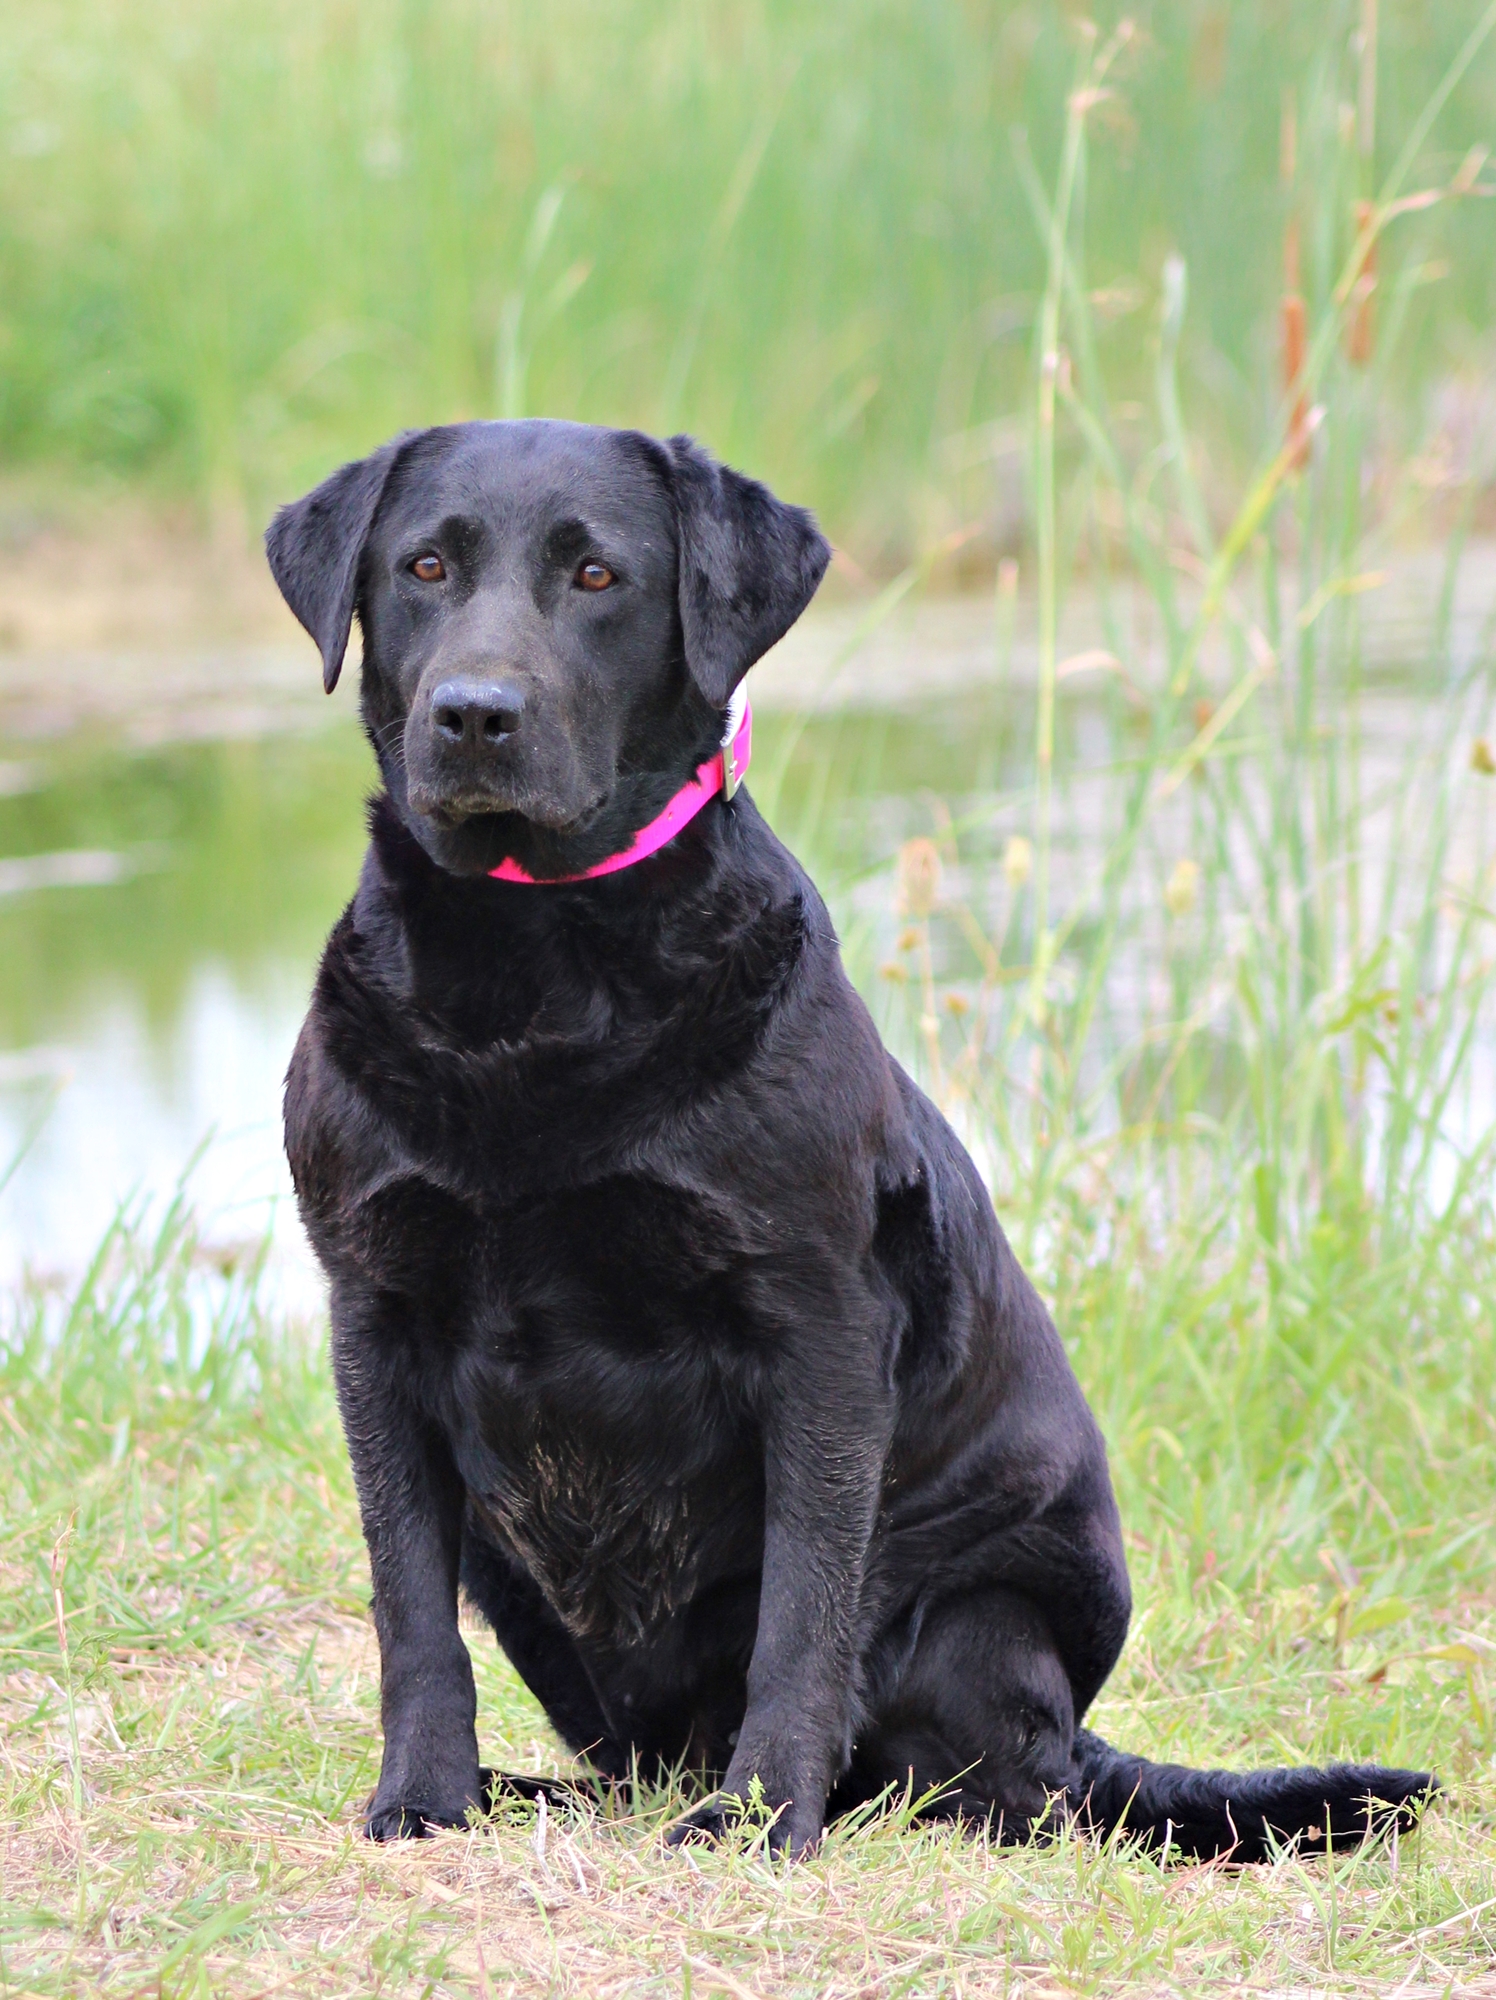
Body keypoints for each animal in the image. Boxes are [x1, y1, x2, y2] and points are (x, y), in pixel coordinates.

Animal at [268, 426, 1440, 1856]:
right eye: (424, 565)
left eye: (596, 574)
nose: (474, 712)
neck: (530, 968)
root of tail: (1078, 1731)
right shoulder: (373, 1308)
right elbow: (408, 1609)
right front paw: (425, 1797)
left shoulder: (815, 1318)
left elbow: (804, 1607)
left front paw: (760, 1817)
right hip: (516, 1568)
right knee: (627, 1749)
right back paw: (537, 1789)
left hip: (982, 1609)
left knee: (993, 1784)